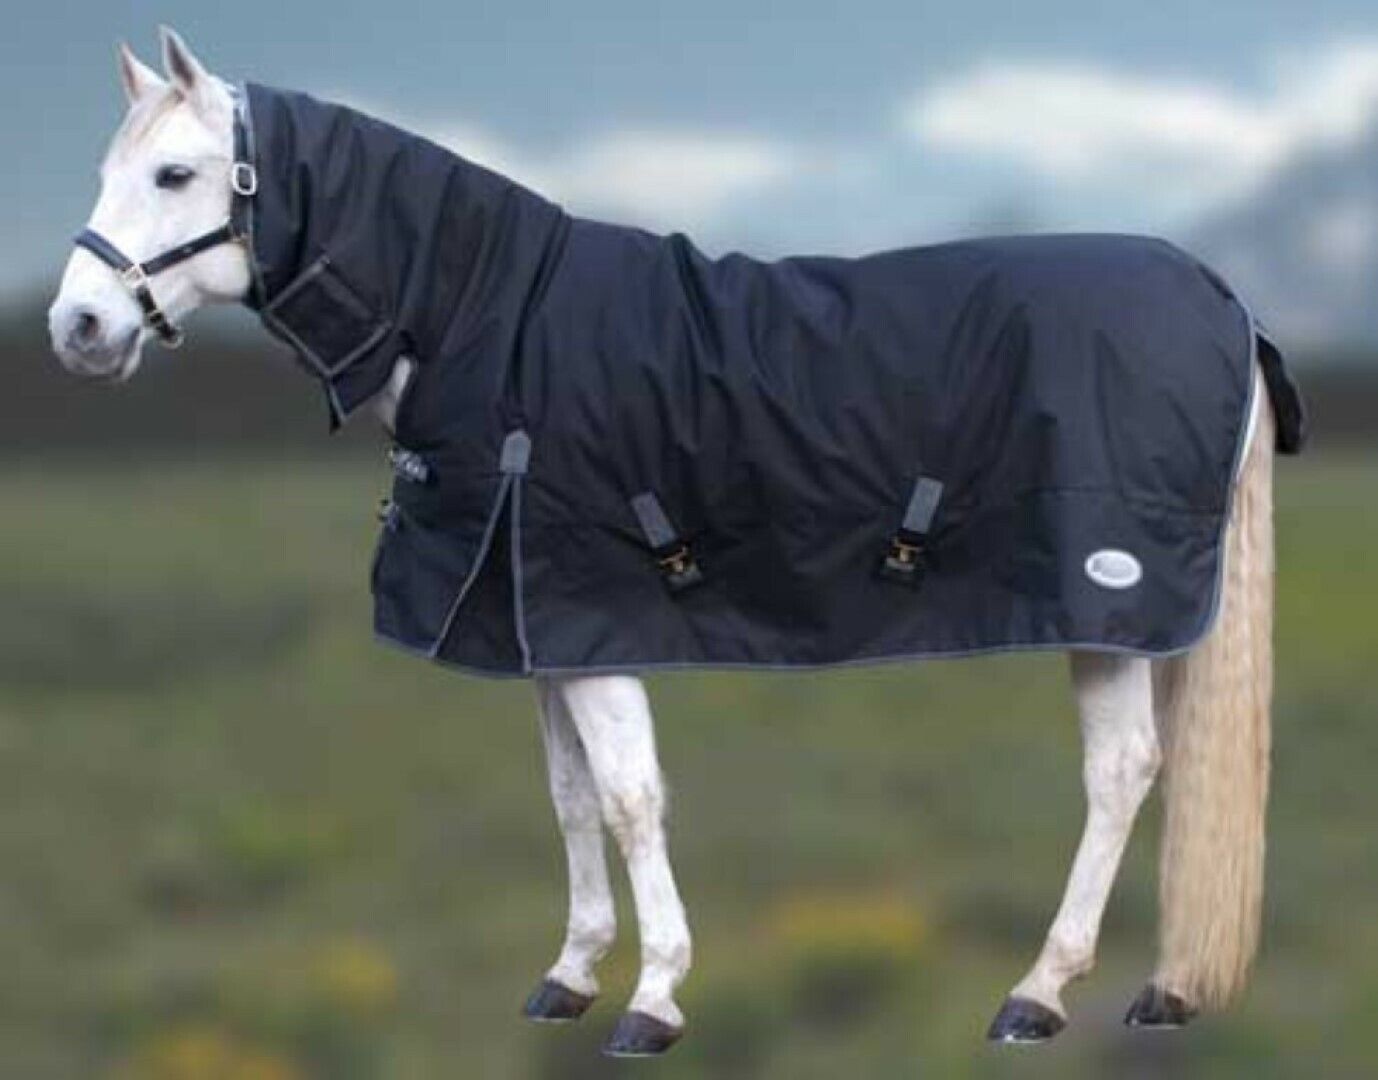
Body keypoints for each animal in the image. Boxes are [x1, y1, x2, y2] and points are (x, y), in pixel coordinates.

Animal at [49, 27, 1286, 1057]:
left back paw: (1036, 993)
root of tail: (1222, 296)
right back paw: (1158, 989)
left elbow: (632, 799)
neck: (496, 323)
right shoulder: (538, 624)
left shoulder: (596, 622)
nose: (78, 329)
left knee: (1120, 773)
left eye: (174, 176)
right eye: (109, 172)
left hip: (1108, 607)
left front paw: (652, 1001)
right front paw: (568, 976)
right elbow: (568, 796)